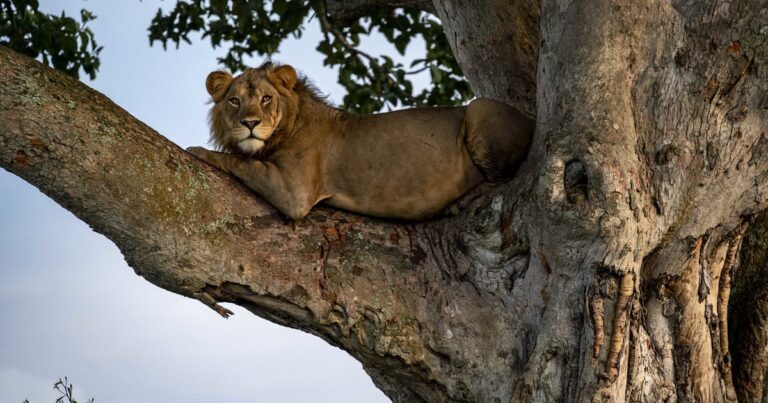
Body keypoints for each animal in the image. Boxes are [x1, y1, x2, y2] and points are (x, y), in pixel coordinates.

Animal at [187, 63, 536, 221]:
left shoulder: (294, 192)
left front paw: (198, 150)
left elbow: (239, 160)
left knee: (501, 180)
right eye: (234, 101)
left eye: (266, 99)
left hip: (478, 108)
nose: (250, 123)